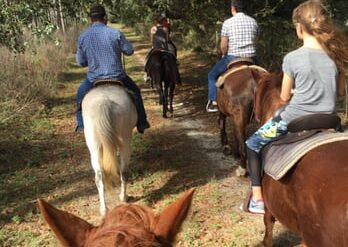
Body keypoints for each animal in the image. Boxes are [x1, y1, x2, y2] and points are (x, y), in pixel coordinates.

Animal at [81, 84, 136, 215]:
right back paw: (122, 198)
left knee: (100, 175)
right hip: (125, 141)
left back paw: (105, 208)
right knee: (123, 171)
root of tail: (104, 102)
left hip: (95, 147)